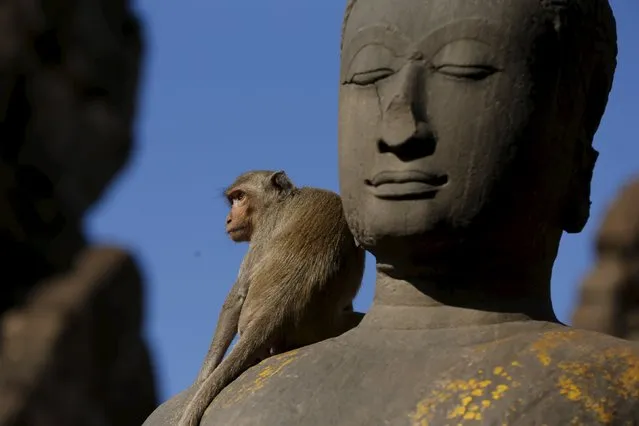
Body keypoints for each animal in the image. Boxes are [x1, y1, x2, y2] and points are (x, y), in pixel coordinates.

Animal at [178, 170, 368, 426]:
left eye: (240, 197)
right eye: (233, 199)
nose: (228, 219)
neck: (278, 202)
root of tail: (272, 314)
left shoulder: (263, 231)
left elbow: (237, 297)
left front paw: (203, 377)